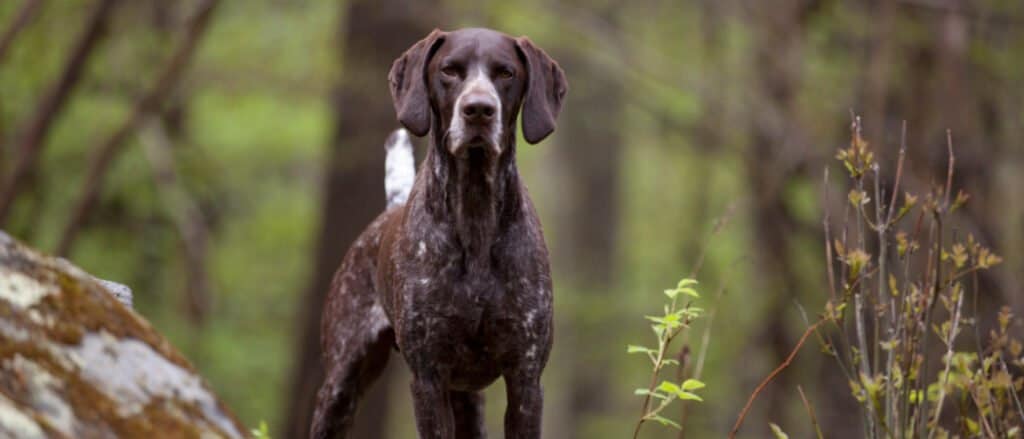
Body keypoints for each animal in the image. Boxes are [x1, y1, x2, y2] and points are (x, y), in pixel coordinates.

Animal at [311, 28, 569, 437]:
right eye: (449, 70)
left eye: (506, 73)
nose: (478, 109)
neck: (475, 214)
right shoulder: (428, 379)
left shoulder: (526, 380)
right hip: (340, 386)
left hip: (467, 399)